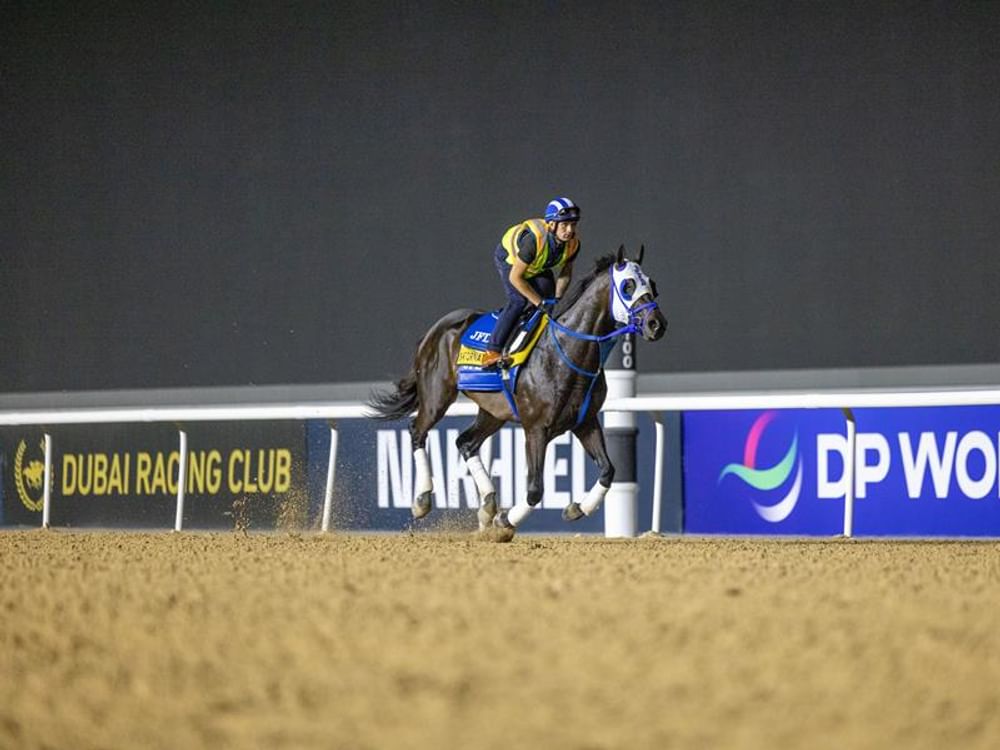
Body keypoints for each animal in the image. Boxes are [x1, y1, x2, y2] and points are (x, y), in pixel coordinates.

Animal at [367, 245, 667, 537]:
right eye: (628, 285)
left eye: (652, 284)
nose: (657, 324)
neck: (567, 352)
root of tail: (434, 330)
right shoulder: (536, 429)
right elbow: (535, 489)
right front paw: (504, 522)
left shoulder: (585, 421)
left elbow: (608, 470)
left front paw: (576, 508)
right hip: (436, 396)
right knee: (417, 431)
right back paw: (423, 500)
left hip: (493, 411)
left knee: (465, 442)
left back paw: (488, 504)